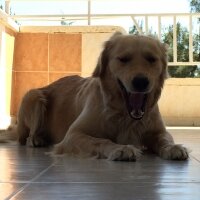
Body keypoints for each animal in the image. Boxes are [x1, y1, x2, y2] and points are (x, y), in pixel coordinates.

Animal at [14, 32, 189, 161]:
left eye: (151, 59)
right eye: (123, 59)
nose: (141, 82)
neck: (125, 117)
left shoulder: (158, 130)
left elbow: (165, 138)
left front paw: (173, 147)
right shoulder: (73, 135)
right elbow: (101, 140)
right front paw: (121, 148)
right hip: (33, 96)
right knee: (27, 137)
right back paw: (37, 139)